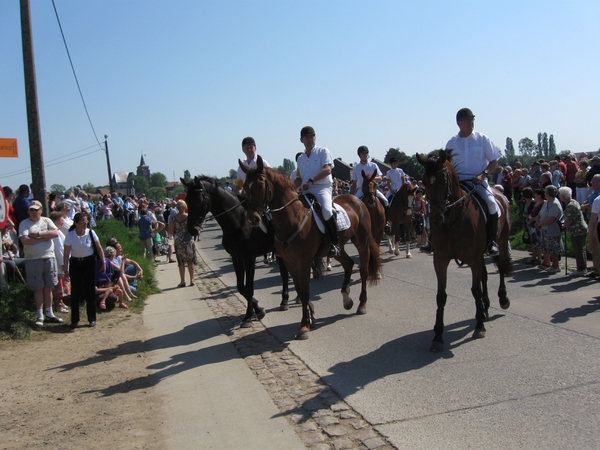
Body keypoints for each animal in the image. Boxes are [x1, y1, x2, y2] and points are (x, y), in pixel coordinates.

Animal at [238, 156, 380, 340]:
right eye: (245, 187)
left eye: (260, 185)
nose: (253, 219)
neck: (292, 217)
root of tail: (358, 200)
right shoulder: (290, 262)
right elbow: (300, 289)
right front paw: (310, 318)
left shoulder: (304, 261)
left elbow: (305, 292)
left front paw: (304, 326)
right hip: (336, 248)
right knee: (348, 264)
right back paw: (346, 299)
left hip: (362, 242)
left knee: (363, 270)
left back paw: (362, 304)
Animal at [418, 149, 510, 354]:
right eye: (424, 182)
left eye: (443, 181)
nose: (435, 218)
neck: (452, 219)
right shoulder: (441, 260)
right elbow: (441, 296)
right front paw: (438, 336)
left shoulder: (473, 259)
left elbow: (475, 290)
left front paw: (479, 327)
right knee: (485, 275)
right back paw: (485, 307)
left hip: (501, 241)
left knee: (500, 268)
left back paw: (502, 299)